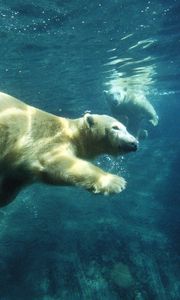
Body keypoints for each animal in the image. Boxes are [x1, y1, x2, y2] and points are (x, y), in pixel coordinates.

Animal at [0, 92, 139, 207]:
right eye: (116, 127)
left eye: (126, 128)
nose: (134, 143)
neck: (71, 132)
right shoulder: (48, 141)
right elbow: (55, 162)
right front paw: (116, 182)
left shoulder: (19, 171)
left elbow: (15, 181)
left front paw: (4, 198)